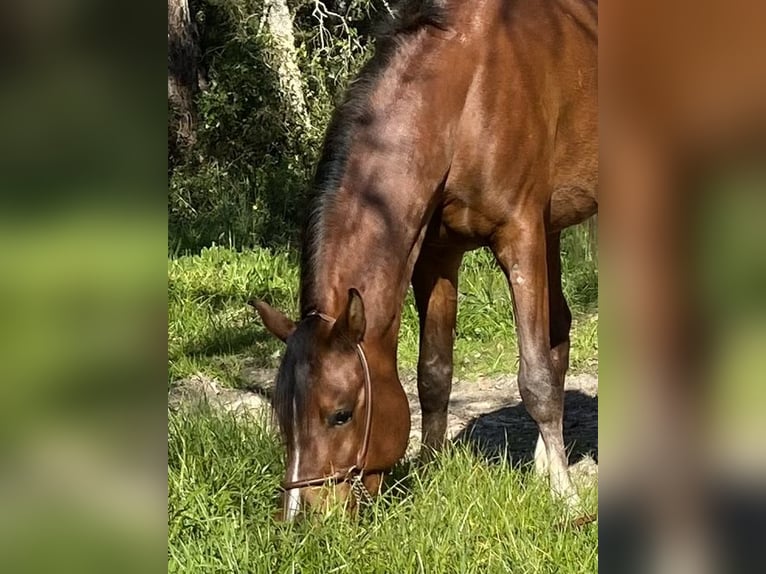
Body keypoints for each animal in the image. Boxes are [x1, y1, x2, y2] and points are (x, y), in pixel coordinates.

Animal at [254, 0, 600, 520]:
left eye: (341, 414)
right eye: (281, 416)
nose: (302, 519)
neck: (467, 95)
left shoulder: (519, 236)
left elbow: (535, 377)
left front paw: (565, 495)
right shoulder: (438, 255)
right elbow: (433, 374)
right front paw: (431, 469)